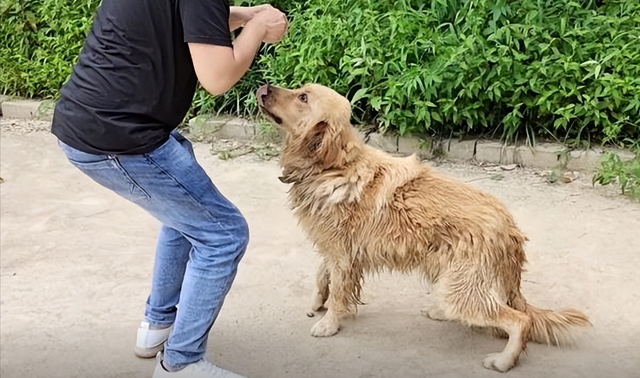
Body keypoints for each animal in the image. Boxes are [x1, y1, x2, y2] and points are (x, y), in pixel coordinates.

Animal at [256, 83, 592, 372]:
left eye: (303, 97)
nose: (264, 86)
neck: (332, 166)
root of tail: (509, 225)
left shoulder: (342, 255)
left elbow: (338, 292)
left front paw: (329, 323)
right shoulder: (338, 250)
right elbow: (321, 274)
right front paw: (318, 302)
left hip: (461, 290)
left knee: (519, 320)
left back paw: (503, 361)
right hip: (447, 272)